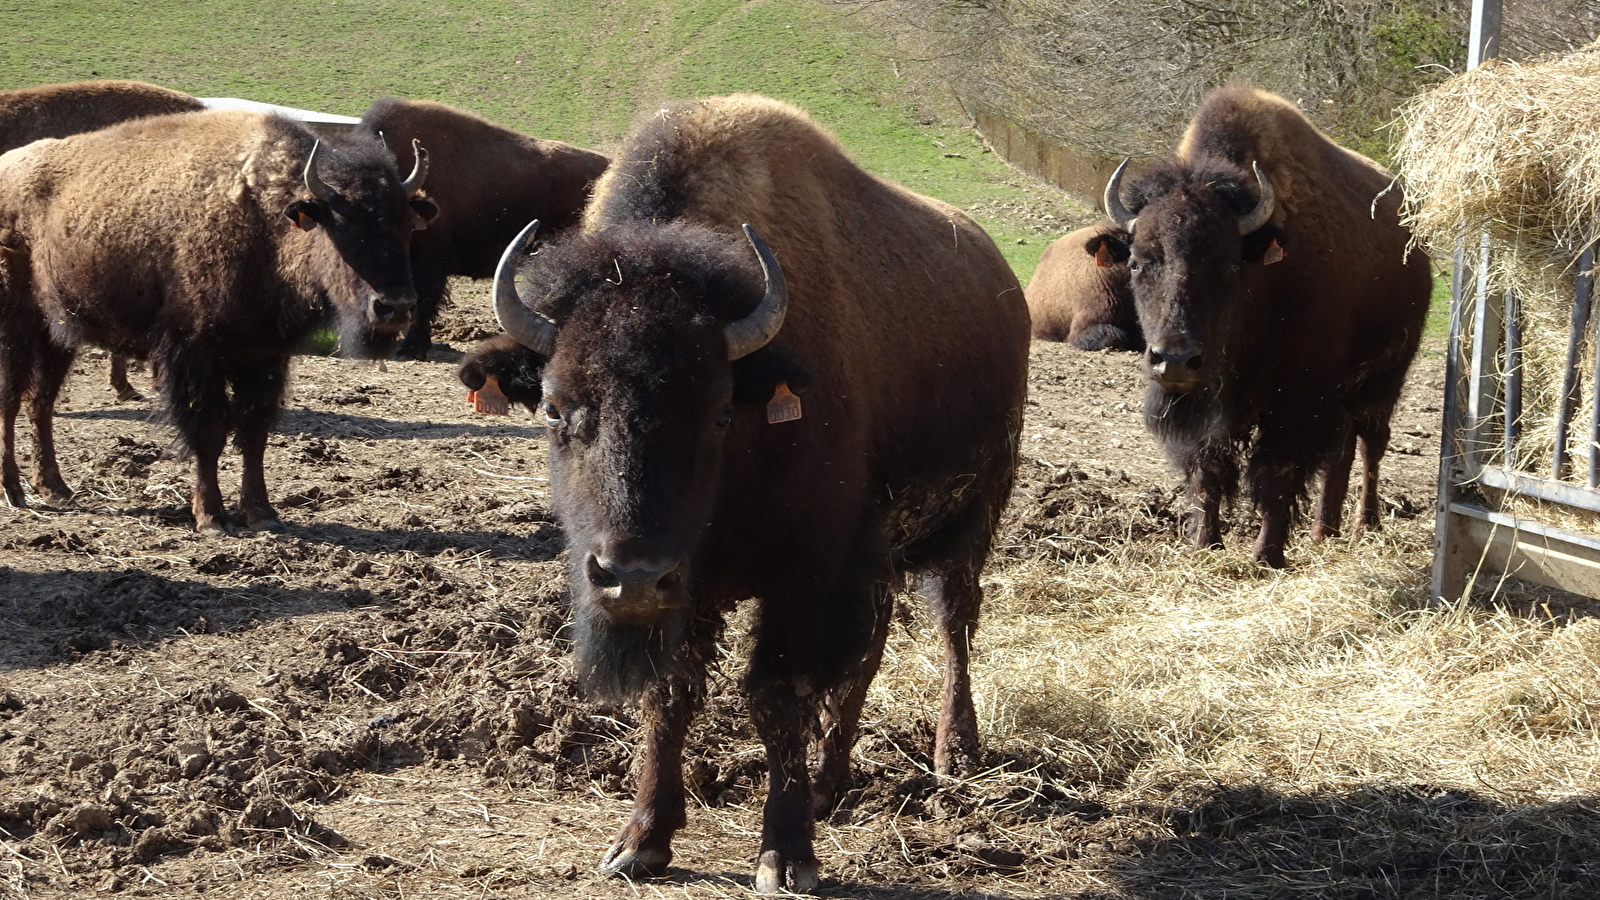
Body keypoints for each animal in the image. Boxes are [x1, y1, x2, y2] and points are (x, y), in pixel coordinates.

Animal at [0, 110, 438, 531]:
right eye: (343, 224)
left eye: (406, 223)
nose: (396, 307)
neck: (266, 219)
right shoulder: (195, 355)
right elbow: (209, 431)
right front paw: (211, 517)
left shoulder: (264, 355)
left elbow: (254, 431)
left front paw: (263, 513)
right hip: (16, 328)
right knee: (11, 399)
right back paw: (15, 491)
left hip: (56, 335)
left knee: (40, 402)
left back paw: (55, 488)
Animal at [467, 92, 1030, 890]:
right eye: (552, 406)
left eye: (719, 410)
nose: (630, 574)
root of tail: (1002, 280)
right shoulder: (697, 590)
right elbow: (671, 696)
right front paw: (641, 841)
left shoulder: (807, 573)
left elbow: (776, 695)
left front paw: (785, 856)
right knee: (873, 649)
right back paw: (830, 780)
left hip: (970, 514)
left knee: (953, 622)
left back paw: (955, 752)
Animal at [1094, 84, 1433, 560]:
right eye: (1138, 262)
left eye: (1231, 264)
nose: (1175, 360)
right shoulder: (1211, 412)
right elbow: (1207, 470)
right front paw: (1206, 544)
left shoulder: (1295, 400)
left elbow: (1277, 472)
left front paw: (1266, 556)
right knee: (1342, 451)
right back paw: (1323, 530)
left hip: (1384, 378)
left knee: (1371, 444)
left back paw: (1365, 524)